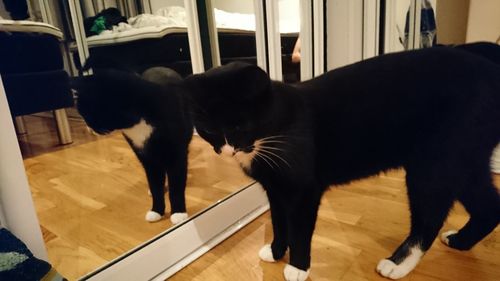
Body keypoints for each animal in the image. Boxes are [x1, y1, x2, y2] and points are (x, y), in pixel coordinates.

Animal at [72, 67, 193, 223]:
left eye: (88, 114)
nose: (88, 127)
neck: (140, 121)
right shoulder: (146, 157)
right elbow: (155, 186)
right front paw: (156, 211)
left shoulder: (176, 155)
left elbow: (176, 187)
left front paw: (178, 213)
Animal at [185, 42, 500, 278]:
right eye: (210, 130)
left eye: (240, 126)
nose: (229, 150)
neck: (275, 129)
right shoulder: (274, 189)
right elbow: (278, 222)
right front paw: (275, 252)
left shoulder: (303, 191)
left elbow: (299, 228)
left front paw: (298, 267)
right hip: (466, 161)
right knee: (489, 206)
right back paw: (460, 241)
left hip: (435, 164)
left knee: (430, 217)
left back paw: (397, 264)